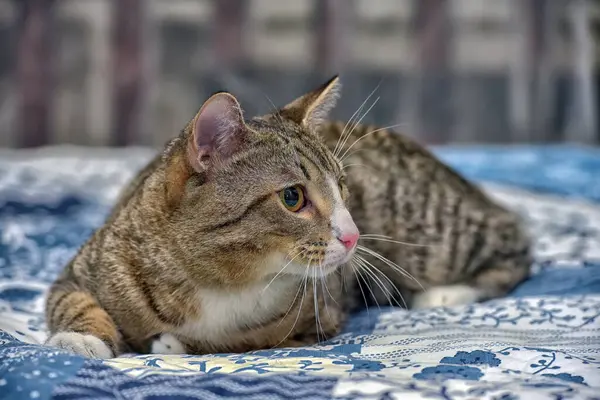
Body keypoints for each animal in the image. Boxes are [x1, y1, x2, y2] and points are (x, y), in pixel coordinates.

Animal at [44, 76, 528, 358]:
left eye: (343, 187)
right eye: (293, 197)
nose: (353, 236)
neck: (226, 282)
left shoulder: (322, 313)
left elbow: (255, 338)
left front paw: (178, 343)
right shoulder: (83, 269)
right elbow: (72, 300)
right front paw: (80, 337)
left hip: (434, 229)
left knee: (514, 240)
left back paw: (449, 291)